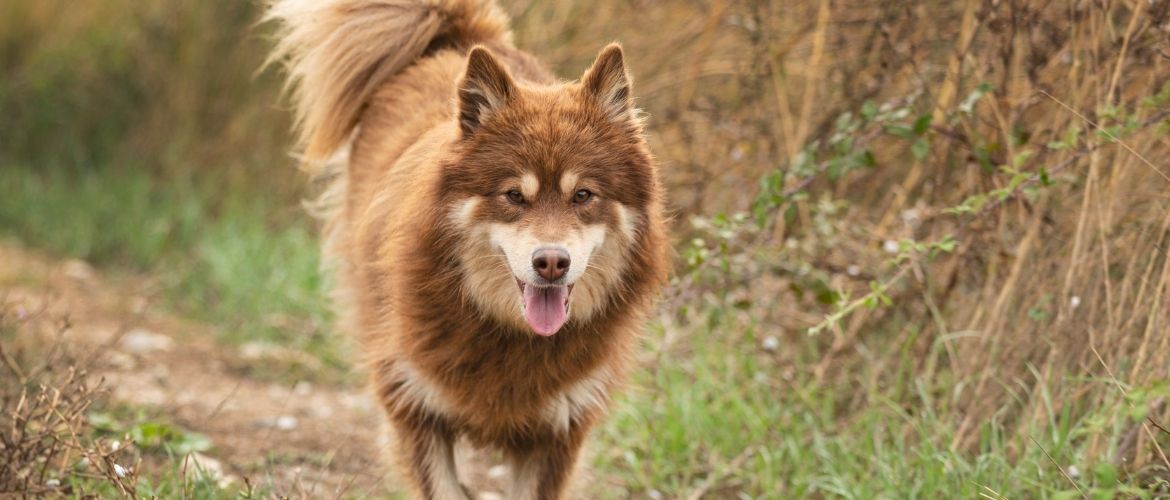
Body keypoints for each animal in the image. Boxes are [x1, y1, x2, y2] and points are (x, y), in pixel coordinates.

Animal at [266, 1, 669, 498]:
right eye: (513, 195)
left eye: (583, 196)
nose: (551, 262)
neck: (505, 334)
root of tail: (455, 41)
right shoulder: (413, 400)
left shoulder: (559, 427)